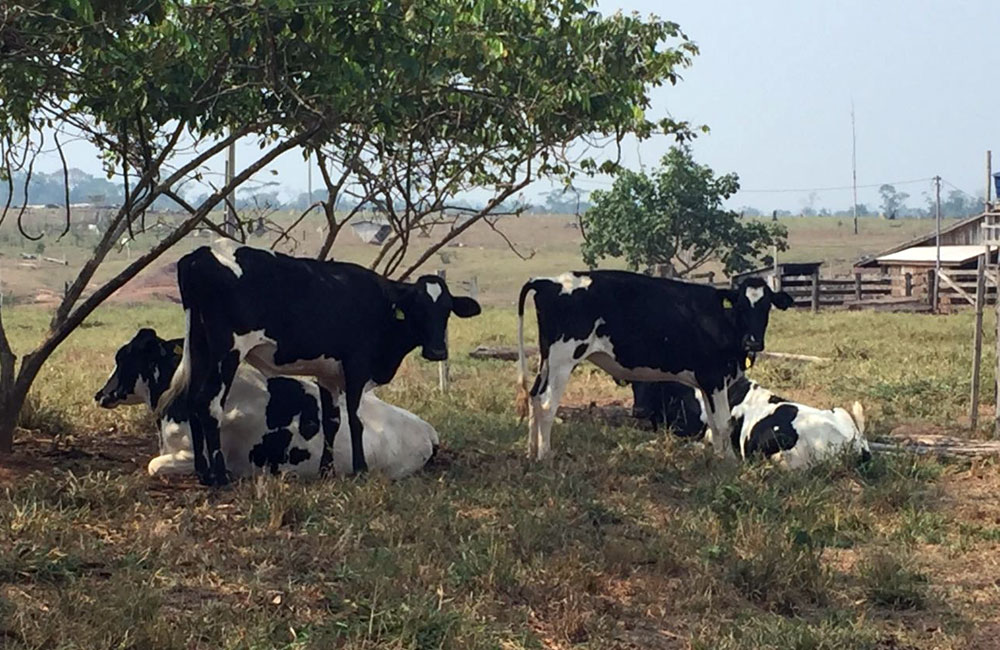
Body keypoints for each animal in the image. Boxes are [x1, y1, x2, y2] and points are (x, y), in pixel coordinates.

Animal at [160, 246, 480, 484]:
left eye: (447, 310)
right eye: (417, 308)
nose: (438, 351)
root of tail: (200, 254)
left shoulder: (327, 375)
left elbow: (332, 421)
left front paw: (326, 471)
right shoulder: (356, 367)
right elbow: (354, 419)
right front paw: (360, 469)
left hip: (199, 347)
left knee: (192, 400)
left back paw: (203, 472)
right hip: (228, 351)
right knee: (209, 404)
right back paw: (219, 476)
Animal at [520, 270, 792, 458]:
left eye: (767, 306)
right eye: (741, 305)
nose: (753, 341)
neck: (722, 321)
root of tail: (547, 281)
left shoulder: (705, 383)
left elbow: (714, 426)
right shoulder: (714, 378)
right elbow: (723, 424)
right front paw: (729, 463)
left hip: (547, 360)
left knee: (533, 397)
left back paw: (531, 453)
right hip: (563, 359)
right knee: (546, 405)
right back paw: (545, 456)